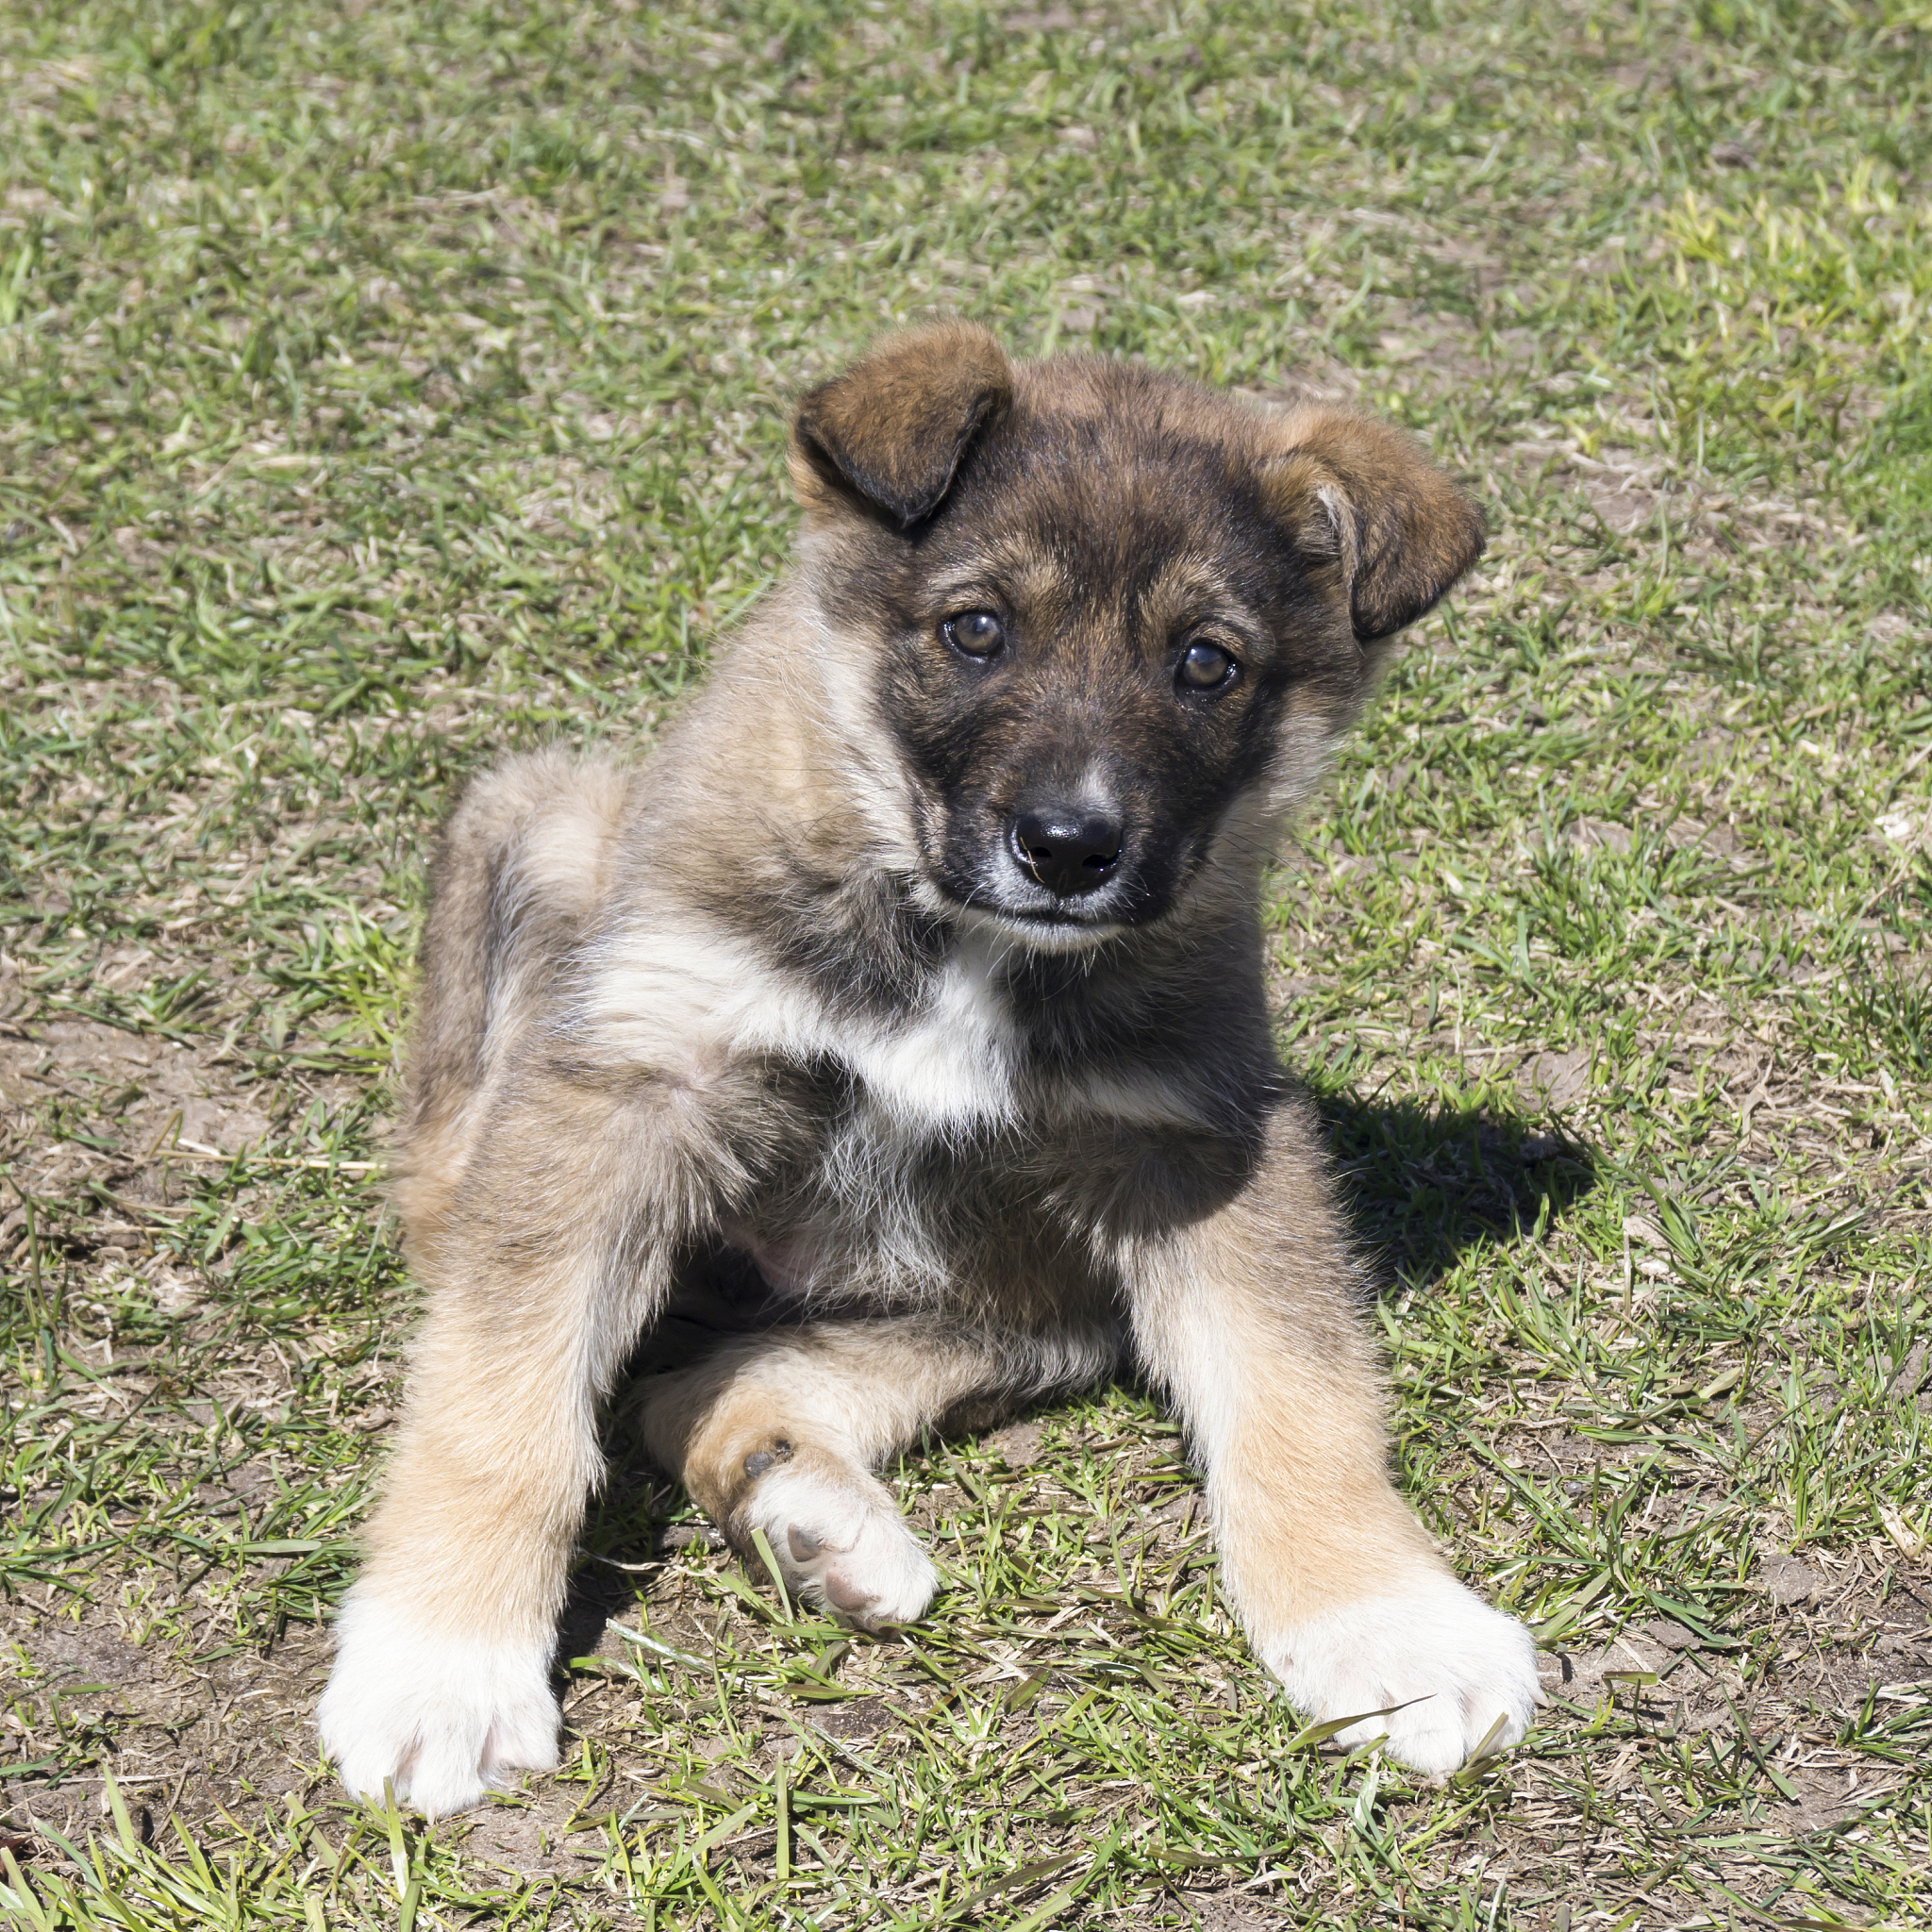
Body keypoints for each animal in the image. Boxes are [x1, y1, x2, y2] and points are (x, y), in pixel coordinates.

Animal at [316, 316, 1538, 1807]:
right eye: (975, 629)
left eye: (1207, 663)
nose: (1069, 848)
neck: (947, 928)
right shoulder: (628, 1086)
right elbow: (500, 1392)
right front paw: (441, 1660)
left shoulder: (1195, 1139)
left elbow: (1296, 1390)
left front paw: (1385, 1621)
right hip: (541, 842)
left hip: (1032, 1295)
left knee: (698, 1389)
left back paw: (802, 1504)